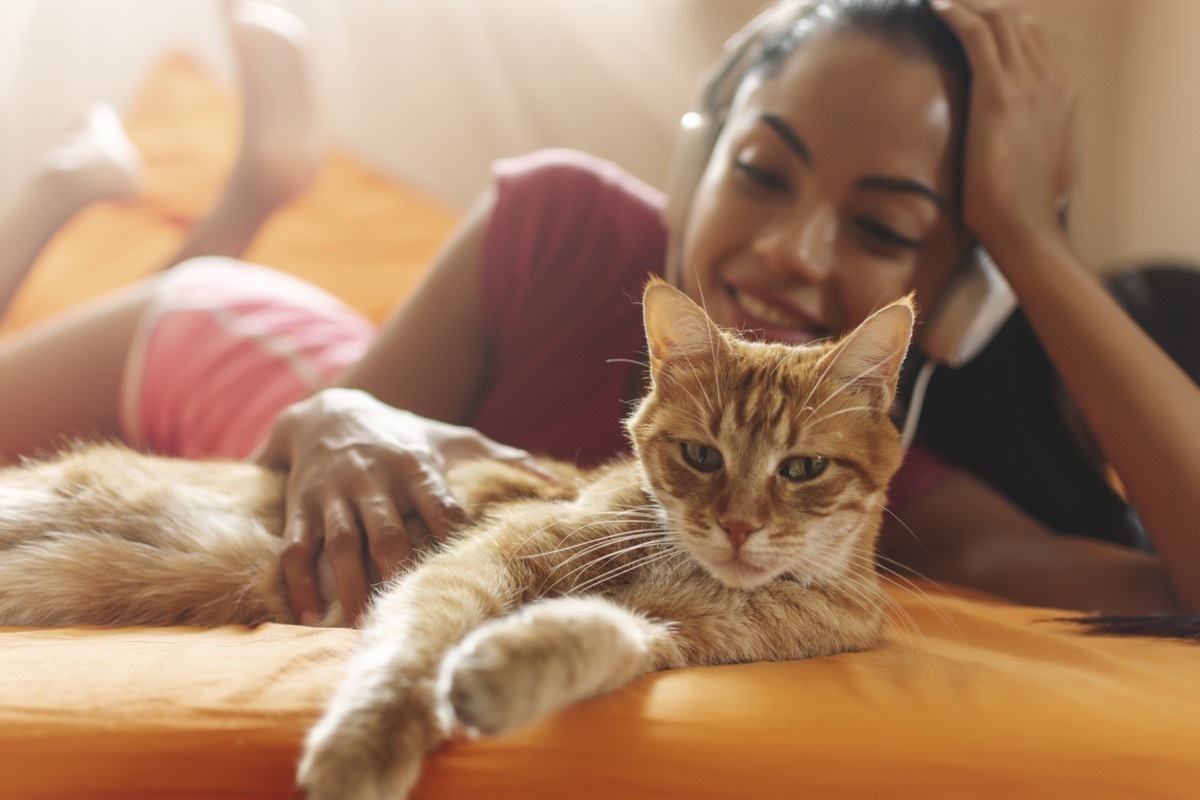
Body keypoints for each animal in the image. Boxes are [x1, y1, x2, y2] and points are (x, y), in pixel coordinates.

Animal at [0, 278, 907, 796]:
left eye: (802, 468)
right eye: (701, 456)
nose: (740, 526)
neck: (700, 577)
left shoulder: (681, 639)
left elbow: (598, 638)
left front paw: (499, 676)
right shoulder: (482, 558)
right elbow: (410, 651)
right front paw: (363, 749)